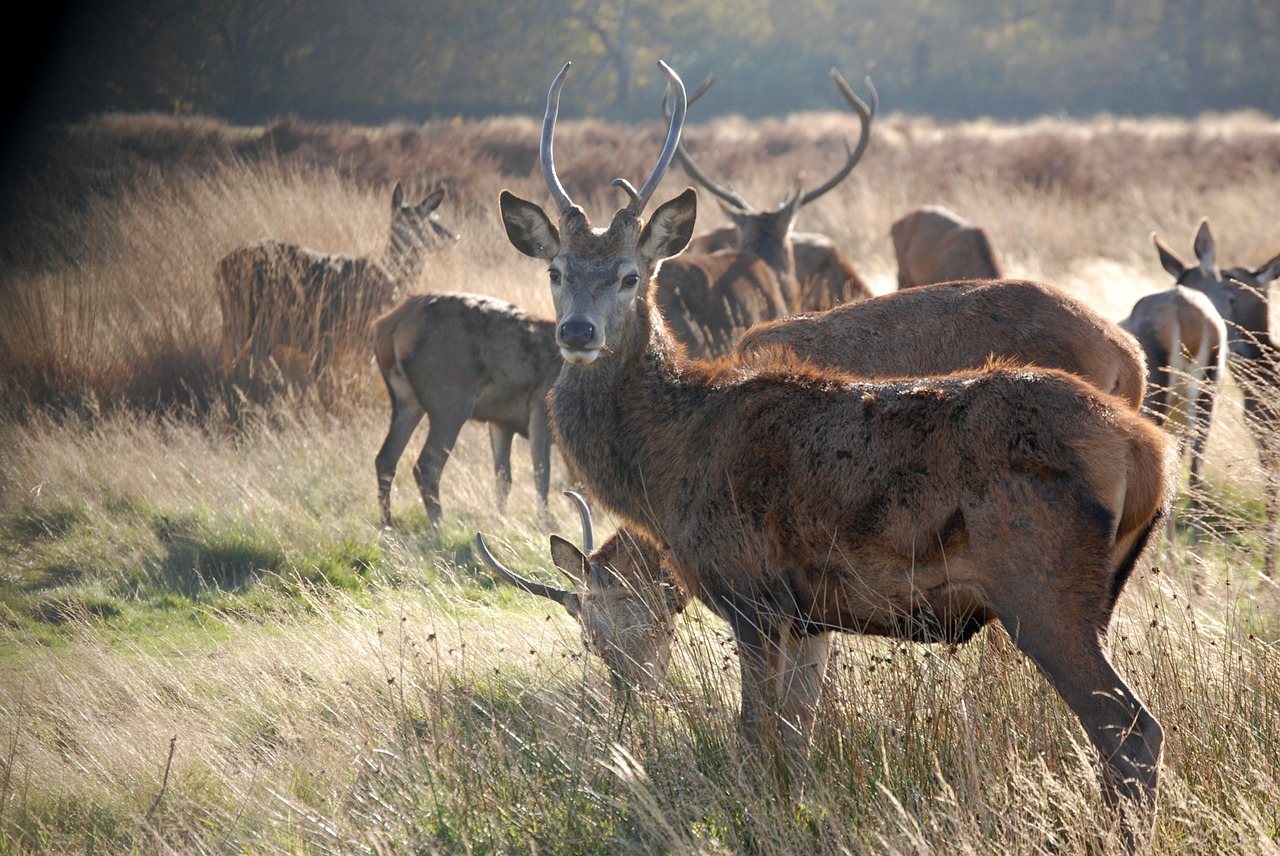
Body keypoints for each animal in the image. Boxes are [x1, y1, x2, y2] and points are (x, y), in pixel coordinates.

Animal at [217, 185, 458, 388]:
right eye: (414, 220)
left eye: (434, 216)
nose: (452, 236)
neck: (391, 276)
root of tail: (222, 264)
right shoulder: (357, 334)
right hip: (257, 317)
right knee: (242, 358)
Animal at [371, 291, 560, 527]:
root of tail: (388, 327)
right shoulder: (540, 406)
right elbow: (542, 475)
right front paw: (542, 527)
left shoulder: (501, 420)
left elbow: (503, 478)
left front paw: (502, 524)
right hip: (450, 401)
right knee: (427, 466)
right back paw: (440, 528)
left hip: (406, 402)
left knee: (386, 459)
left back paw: (387, 525)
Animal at [496, 61, 1172, 839]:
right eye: (555, 271)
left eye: (631, 275)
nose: (577, 332)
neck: (669, 463)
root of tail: (1150, 452)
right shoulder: (811, 615)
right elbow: (798, 738)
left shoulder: (753, 593)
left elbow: (754, 741)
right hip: (1100, 588)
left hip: (1042, 581)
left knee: (1131, 728)